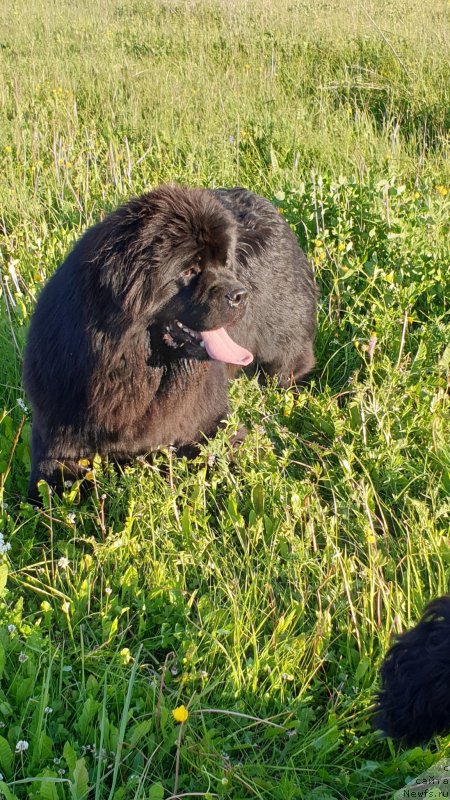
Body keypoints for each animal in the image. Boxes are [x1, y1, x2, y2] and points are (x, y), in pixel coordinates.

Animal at [23, 188, 316, 500]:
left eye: (226, 263)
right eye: (189, 270)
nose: (240, 294)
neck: (131, 366)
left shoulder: (209, 422)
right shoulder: (57, 434)